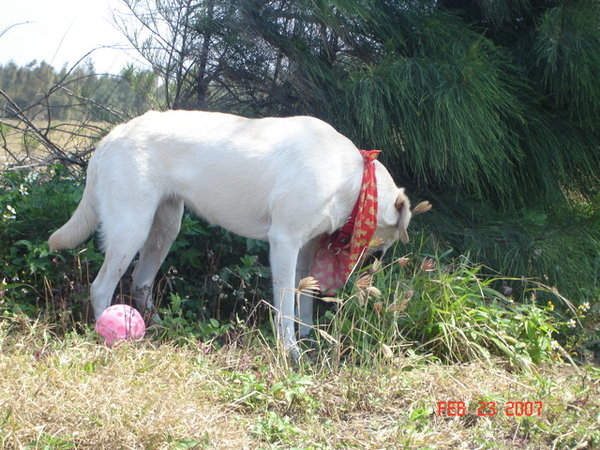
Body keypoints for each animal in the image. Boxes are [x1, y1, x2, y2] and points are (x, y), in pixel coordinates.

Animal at [50, 110, 426, 356]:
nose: (375, 266)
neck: (352, 177)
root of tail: (111, 136)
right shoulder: (284, 243)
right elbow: (285, 305)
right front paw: (290, 350)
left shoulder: (305, 250)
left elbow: (303, 300)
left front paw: (309, 339)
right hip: (132, 228)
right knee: (101, 287)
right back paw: (109, 336)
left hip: (164, 230)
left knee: (141, 282)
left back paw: (158, 326)